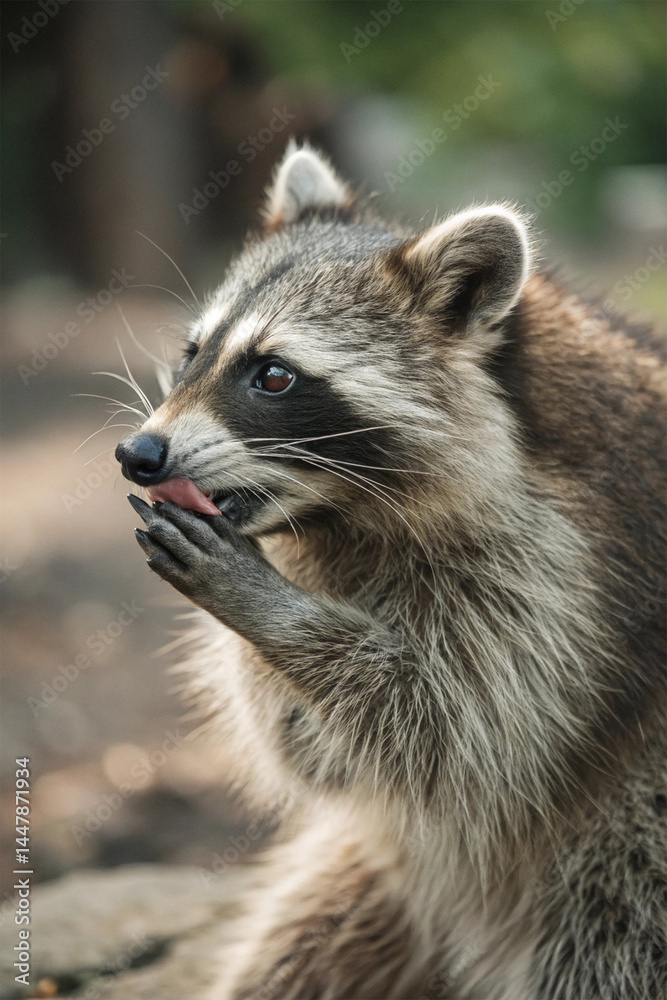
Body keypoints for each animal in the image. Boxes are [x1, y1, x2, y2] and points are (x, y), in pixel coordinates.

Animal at [116, 143, 666, 1000]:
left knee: (606, 943)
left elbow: (469, 733)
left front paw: (274, 612)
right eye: (193, 352)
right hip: (385, 881)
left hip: (625, 853)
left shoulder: (571, 575)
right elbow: (314, 746)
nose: (138, 455)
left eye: (274, 375)